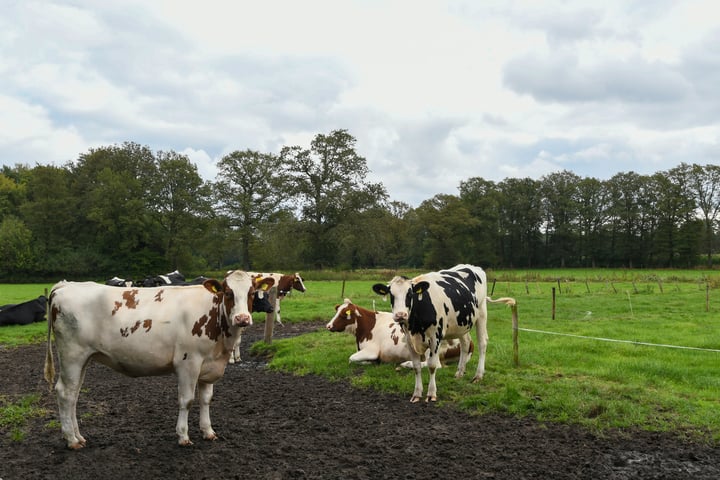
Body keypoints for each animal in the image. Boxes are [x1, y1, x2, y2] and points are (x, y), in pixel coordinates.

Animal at [44, 270, 276, 450]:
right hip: (72, 355)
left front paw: (208, 431)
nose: (242, 318)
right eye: (228, 293)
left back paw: (78, 436)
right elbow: (187, 400)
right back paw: (72, 440)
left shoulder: (209, 366)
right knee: (65, 393)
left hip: (83, 359)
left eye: (252, 293)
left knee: (74, 394)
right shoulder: (188, 362)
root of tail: (65, 285)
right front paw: (183, 436)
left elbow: (206, 399)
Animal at [326, 296, 472, 368]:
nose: (328, 326)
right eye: (337, 311)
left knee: (435, 364)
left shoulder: (371, 351)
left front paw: (371, 362)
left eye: (343, 315)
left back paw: (407, 364)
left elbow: (351, 358)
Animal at [372, 264, 516, 404]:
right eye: (391, 295)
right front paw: (417, 394)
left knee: (482, 343)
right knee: (465, 343)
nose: (400, 315)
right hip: (462, 324)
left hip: (481, 313)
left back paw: (478, 375)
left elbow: (432, 365)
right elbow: (416, 367)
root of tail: (473, 267)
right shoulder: (409, 339)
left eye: (410, 294)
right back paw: (460, 372)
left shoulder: (435, 338)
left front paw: (431, 394)